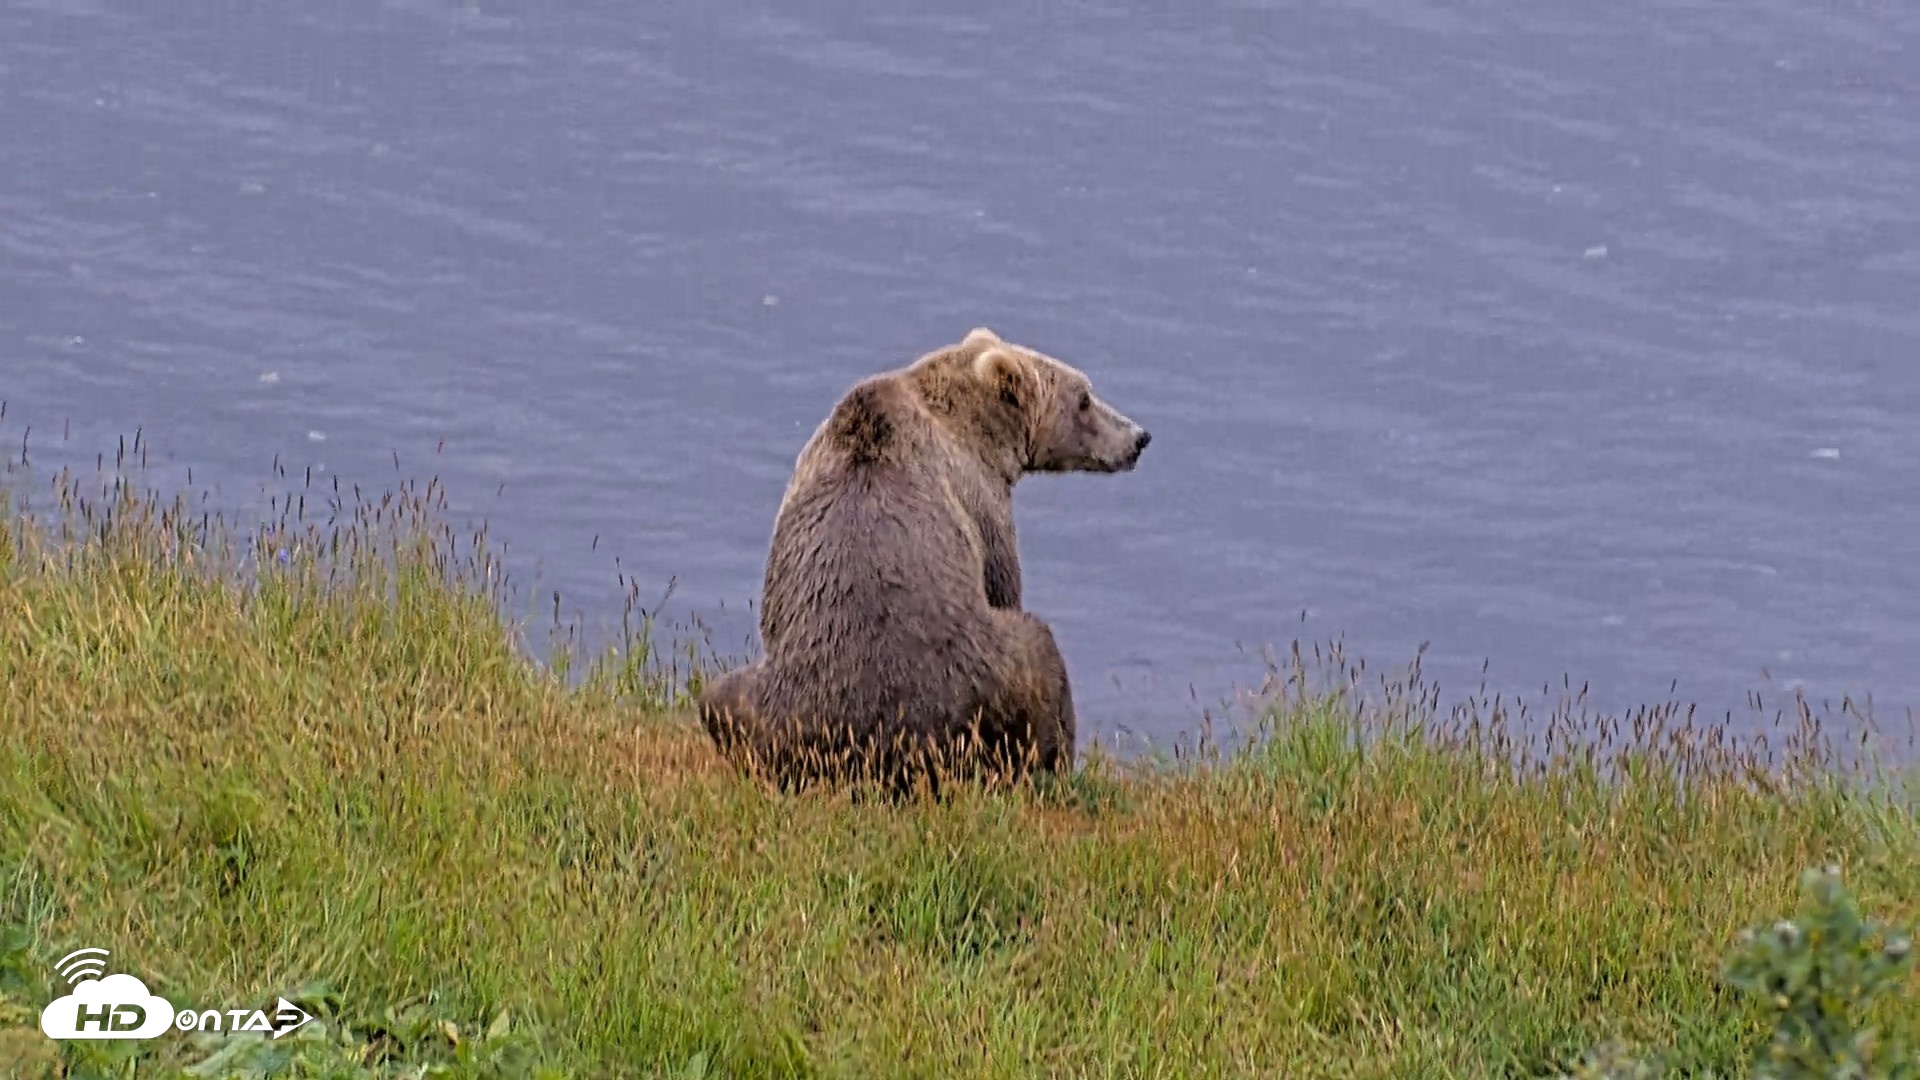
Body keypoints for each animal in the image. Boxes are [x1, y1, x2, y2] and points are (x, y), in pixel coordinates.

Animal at [697, 326, 1152, 796]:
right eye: (1084, 397)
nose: (1139, 437)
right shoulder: (978, 500)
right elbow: (1002, 583)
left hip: (767, 703)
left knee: (717, 702)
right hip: (977, 679)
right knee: (1041, 655)